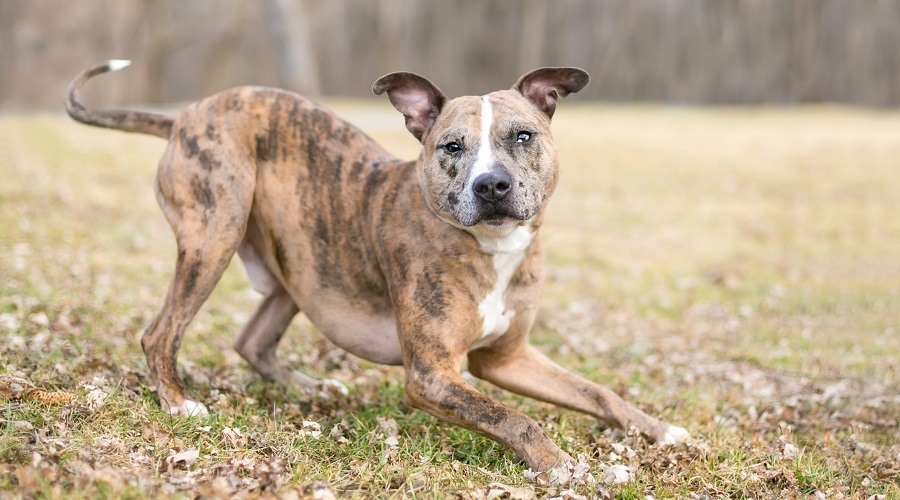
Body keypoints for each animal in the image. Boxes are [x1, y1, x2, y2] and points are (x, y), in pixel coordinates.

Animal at [67, 60, 692, 474]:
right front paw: (565, 466)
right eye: (452, 147)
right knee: (160, 333)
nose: (492, 185)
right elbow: (514, 417)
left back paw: (310, 385)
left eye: (523, 136)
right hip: (214, 233)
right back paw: (180, 402)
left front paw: (663, 430)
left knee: (252, 339)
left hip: (300, 262)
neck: (489, 248)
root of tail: (183, 118)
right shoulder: (433, 375)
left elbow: (599, 393)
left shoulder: (507, 358)